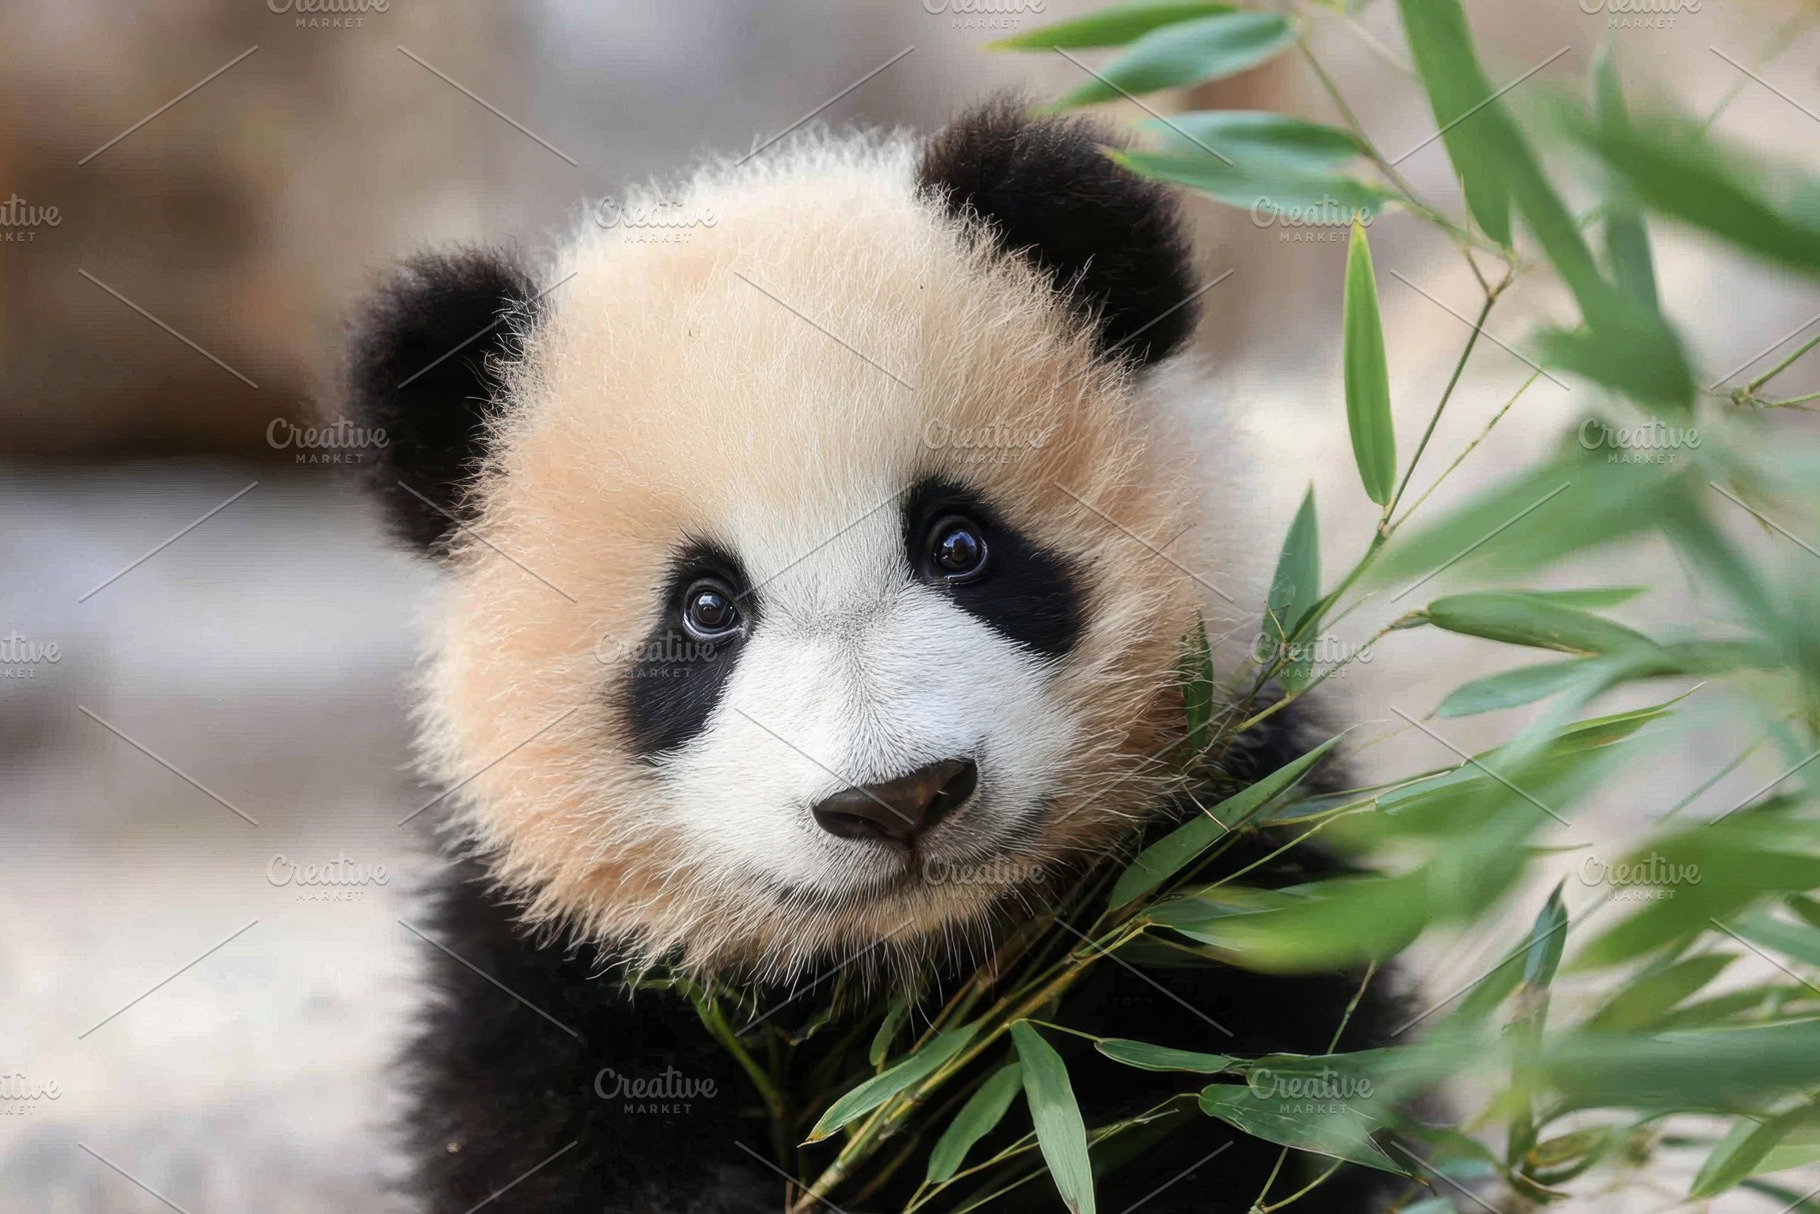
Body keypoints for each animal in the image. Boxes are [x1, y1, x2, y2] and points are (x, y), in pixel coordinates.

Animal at [346, 98, 1405, 1214]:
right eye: (706, 610)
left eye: (958, 545)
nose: (901, 799)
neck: (906, 973)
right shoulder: (555, 965)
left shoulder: (1226, 863)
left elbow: (1243, 1098)